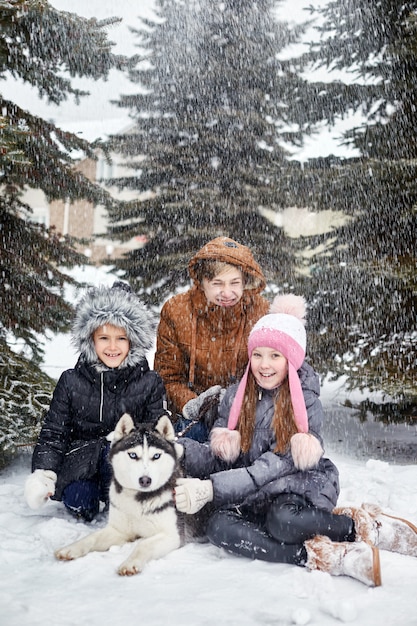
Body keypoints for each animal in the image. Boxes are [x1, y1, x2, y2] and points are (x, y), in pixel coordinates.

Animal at [54, 412, 184, 572]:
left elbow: (144, 544)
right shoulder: (119, 530)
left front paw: (130, 563)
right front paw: (71, 548)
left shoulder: (172, 535)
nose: (145, 480)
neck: (137, 500)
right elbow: (91, 537)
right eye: (133, 455)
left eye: (156, 456)